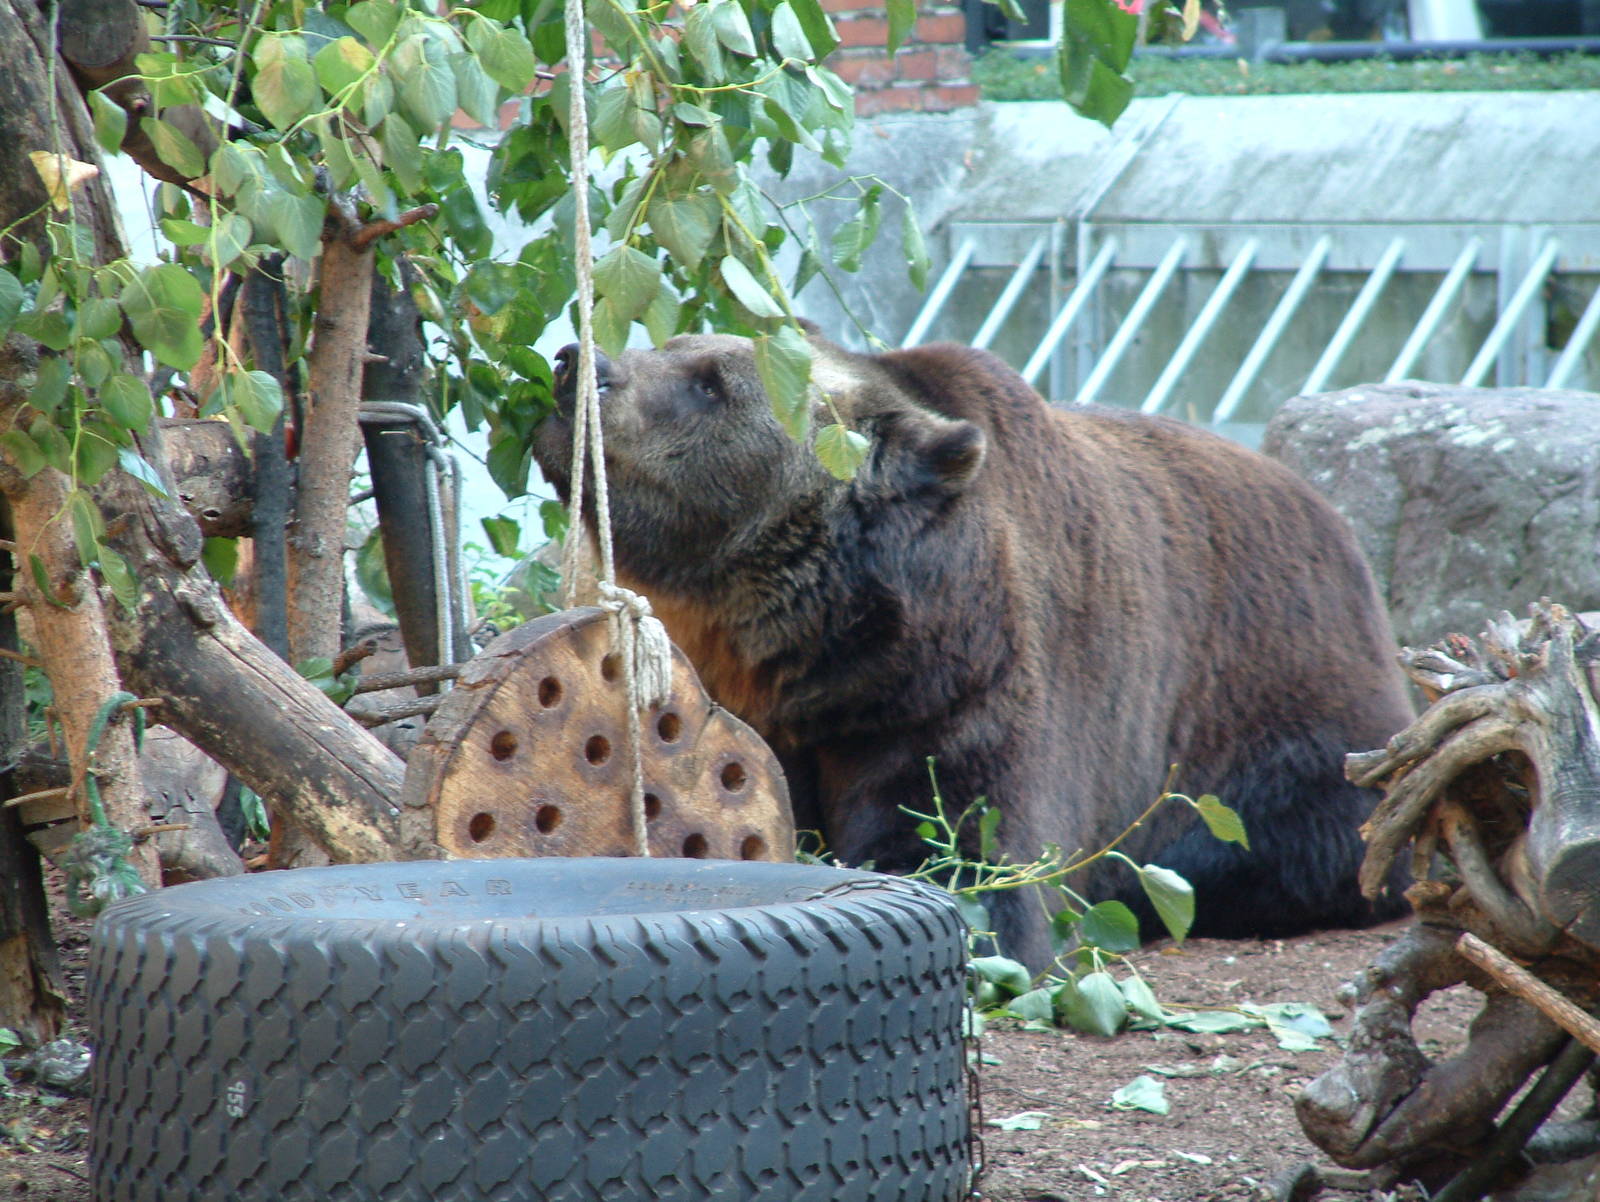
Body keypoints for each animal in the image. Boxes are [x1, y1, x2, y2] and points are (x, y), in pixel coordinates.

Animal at [534, 331, 1414, 968]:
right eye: (671, 343)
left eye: (713, 382)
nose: (579, 362)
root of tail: (1337, 525)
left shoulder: (958, 692)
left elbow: (964, 855)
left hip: (1282, 709)